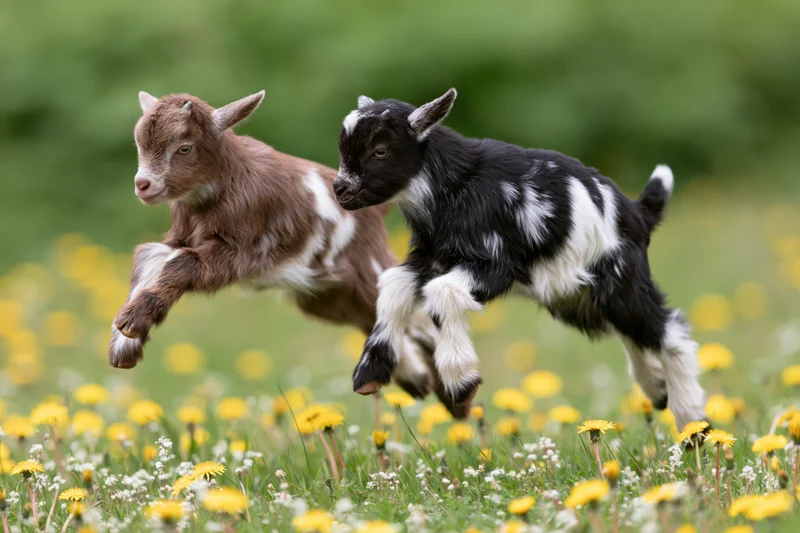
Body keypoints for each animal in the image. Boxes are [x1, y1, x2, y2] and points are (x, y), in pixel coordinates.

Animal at [108, 90, 467, 417]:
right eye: (139, 144)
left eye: (184, 147)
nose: (144, 185)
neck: (226, 182)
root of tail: (377, 211)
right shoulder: (181, 235)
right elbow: (150, 254)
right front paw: (124, 344)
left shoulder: (238, 251)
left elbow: (181, 262)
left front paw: (133, 323)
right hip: (327, 296)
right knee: (374, 319)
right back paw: (414, 380)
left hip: (369, 268)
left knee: (415, 317)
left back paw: (458, 398)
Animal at [333, 89, 708, 430]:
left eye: (380, 151)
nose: (340, 189)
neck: (453, 187)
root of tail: (638, 212)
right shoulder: (431, 259)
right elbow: (393, 286)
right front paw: (370, 372)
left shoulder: (495, 263)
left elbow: (443, 293)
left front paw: (461, 381)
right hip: (581, 297)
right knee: (633, 333)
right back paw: (657, 388)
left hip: (622, 280)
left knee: (668, 331)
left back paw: (692, 420)